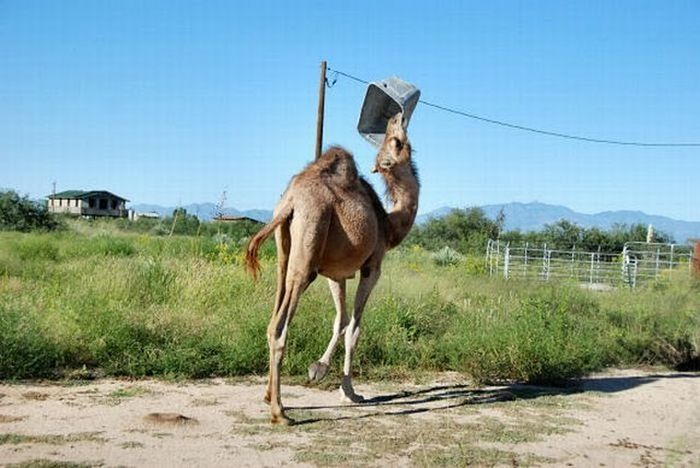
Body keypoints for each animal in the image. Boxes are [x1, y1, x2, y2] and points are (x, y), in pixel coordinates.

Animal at [246, 113, 418, 424]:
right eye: (397, 141)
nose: (396, 116)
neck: (389, 225)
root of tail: (291, 201)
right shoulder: (372, 266)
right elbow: (354, 328)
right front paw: (349, 392)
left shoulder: (336, 274)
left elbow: (340, 320)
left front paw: (318, 369)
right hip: (307, 255)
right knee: (279, 328)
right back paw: (280, 412)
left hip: (284, 257)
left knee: (272, 317)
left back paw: (267, 396)